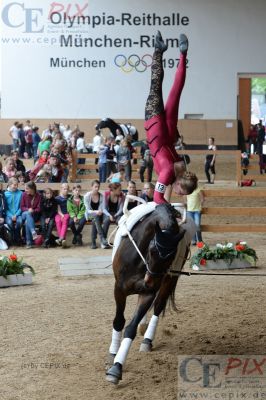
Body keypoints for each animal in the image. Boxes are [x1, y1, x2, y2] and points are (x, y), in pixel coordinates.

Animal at [106, 203, 195, 384]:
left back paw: (147, 338)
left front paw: (117, 368)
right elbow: (119, 321)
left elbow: (130, 328)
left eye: (172, 256)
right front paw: (113, 354)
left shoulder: (148, 294)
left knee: (158, 307)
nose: (151, 282)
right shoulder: (119, 289)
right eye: (152, 250)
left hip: (169, 280)